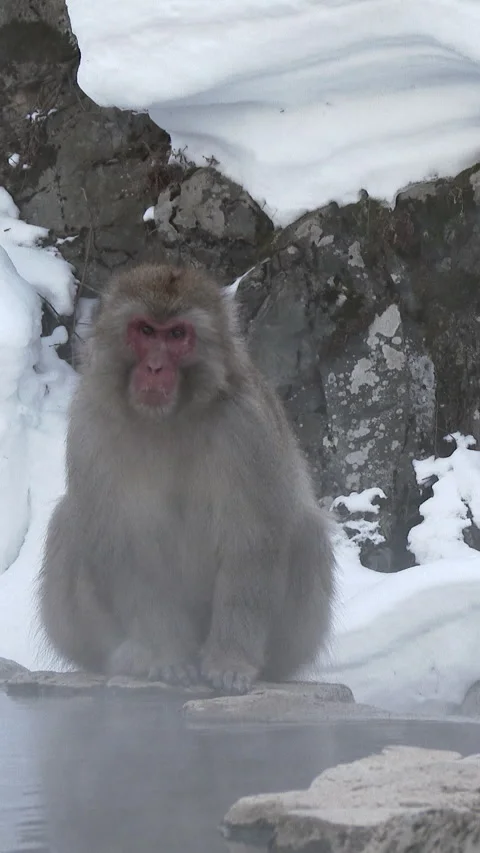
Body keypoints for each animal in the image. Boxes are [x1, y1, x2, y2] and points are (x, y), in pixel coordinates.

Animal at [39, 264, 335, 694]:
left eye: (177, 335)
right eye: (146, 331)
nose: (155, 368)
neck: (169, 420)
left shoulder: (247, 425)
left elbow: (252, 540)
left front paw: (231, 662)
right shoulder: (91, 423)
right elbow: (129, 547)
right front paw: (166, 657)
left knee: (306, 530)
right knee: (70, 520)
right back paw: (128, 656)